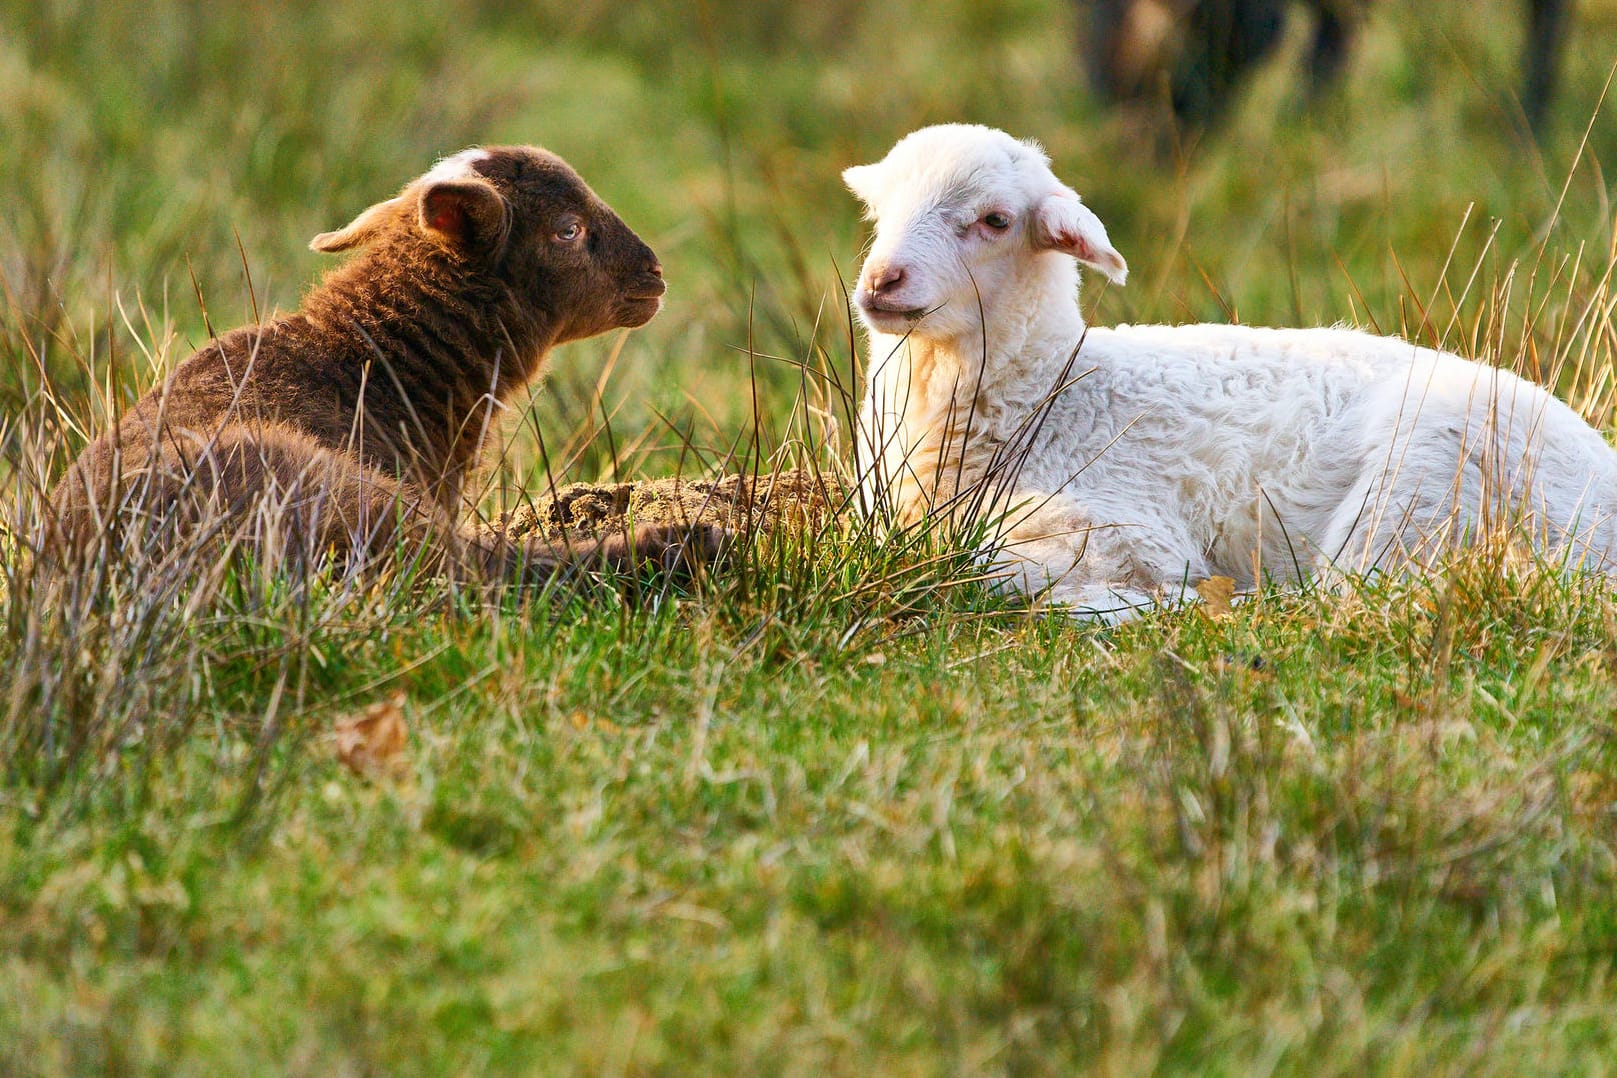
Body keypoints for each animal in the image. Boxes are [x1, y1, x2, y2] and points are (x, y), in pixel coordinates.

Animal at [47, 147, 724, 585]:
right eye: (567, 230)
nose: (655, 274)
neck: (371, 360)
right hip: (337, 497)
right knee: (482, 574)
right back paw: (682, 547)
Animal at [847, 123, 1617, 620]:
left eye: (996, 220)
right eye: (878, 210)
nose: (882, 282)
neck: (1053, 396)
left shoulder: (1127, 527)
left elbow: (996, 569)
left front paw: (1138, 602)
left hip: (1428, 477)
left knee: (1357, 592)